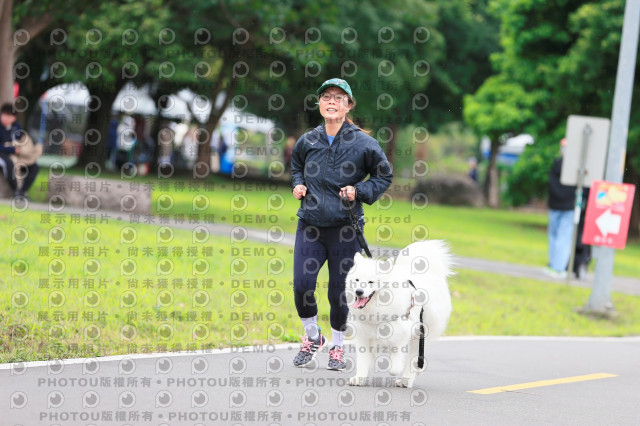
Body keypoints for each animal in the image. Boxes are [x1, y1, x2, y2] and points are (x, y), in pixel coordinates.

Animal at [346, 240, 453, 388]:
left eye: (371, 282)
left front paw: (394, 370)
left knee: (414, 359)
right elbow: (363, 361)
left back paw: (407, 379)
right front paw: (359, 378)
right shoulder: (364, 336)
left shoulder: (401, 334)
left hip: (420, 334)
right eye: (356, 280)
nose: (359, 292)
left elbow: (394, 367)